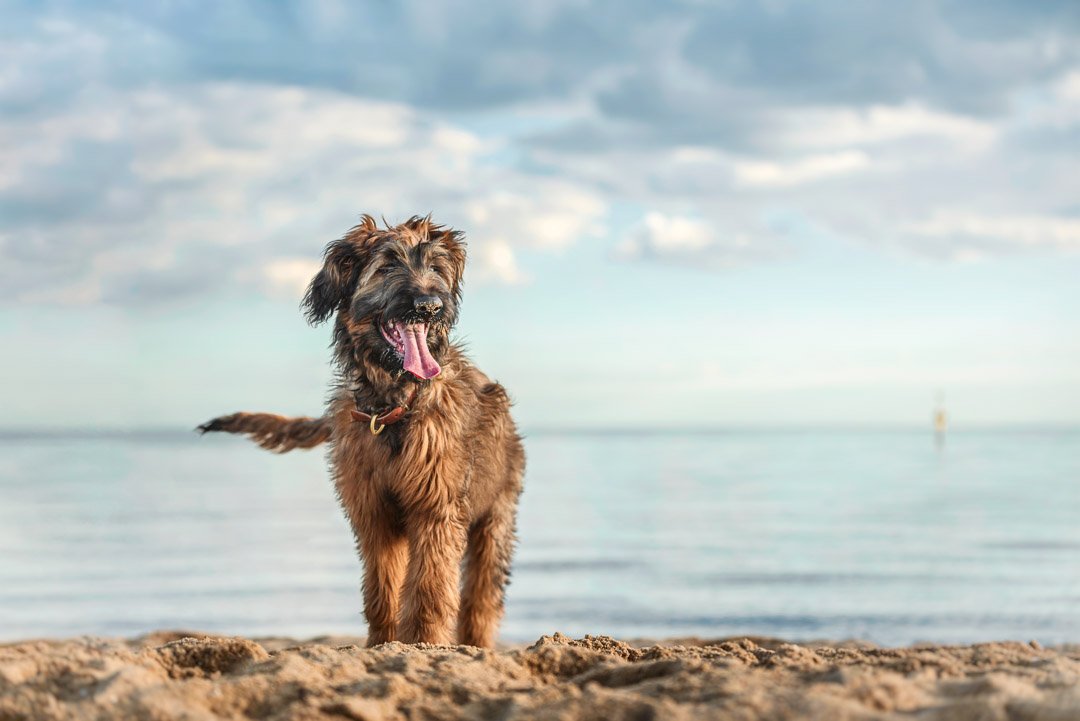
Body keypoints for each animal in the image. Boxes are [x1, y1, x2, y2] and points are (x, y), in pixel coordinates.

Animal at [201, 213, 527, 647]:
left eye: (436, 267)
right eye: (387, 266)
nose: (430, 305)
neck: (391, 407)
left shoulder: (436, 507)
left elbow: (429, 587)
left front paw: (422, 641)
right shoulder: (373, 512)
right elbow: (382, 585)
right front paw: (384, 642)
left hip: (497, 514)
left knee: (482, 593)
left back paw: (475, 644)